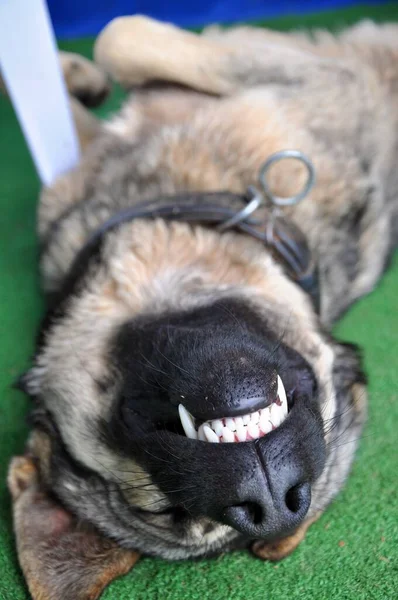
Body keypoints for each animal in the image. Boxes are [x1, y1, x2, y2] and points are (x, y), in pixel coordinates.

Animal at [7, 16, 398, 596]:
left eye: (298, 496)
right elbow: (106, 57)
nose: (273, 502)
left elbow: (118, 37)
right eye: (167, 511)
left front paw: (81, 74)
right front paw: (77, 76)